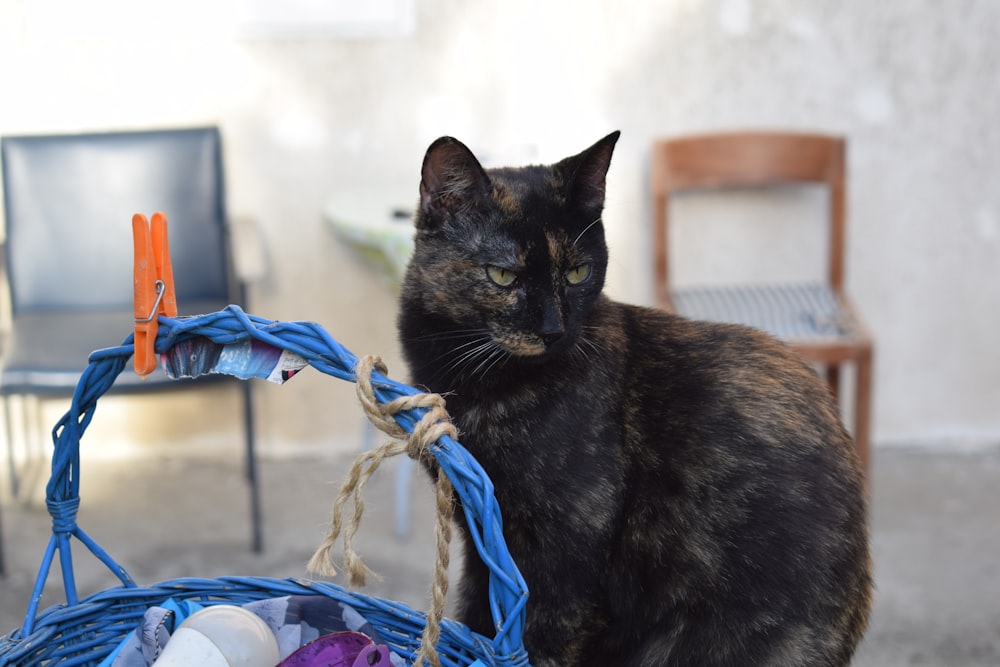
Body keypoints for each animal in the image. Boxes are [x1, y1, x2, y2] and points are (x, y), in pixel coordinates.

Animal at [394, 132, 872, 667]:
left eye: (577, 273)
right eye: (502, 276)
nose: (553, 330)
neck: (483, 386)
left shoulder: (564, 551)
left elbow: (540, 640)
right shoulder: (484, 543)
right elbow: (479, 614)